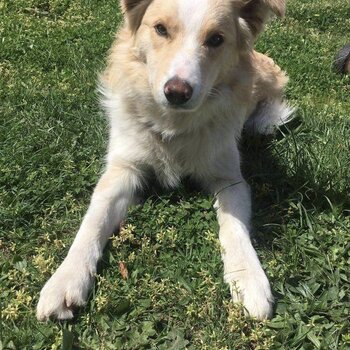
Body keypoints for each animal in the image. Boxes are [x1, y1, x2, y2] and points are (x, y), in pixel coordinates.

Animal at [37, 0, 292, 322]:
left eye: (216, 39)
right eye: (160, 29)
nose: (177, 93)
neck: (173, 126)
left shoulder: (229, 179)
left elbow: (234, 226)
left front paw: (249, 278)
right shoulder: (123, 169)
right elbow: (93, 221)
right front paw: (65, 279)